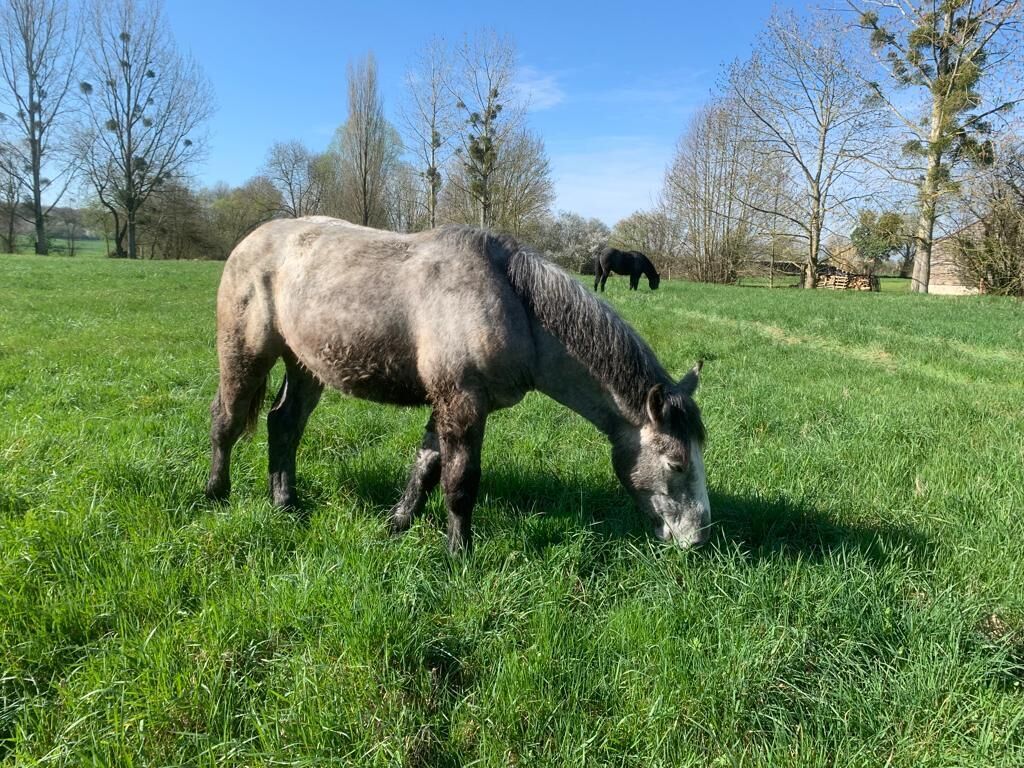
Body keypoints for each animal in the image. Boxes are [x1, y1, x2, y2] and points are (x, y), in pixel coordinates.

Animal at [206, 217, 709, 553]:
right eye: (677, 464)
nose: (698, 539)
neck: (513, 302)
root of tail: (250, 239)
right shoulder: (463, 403)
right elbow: (460, 481)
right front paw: (458, 554)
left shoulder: (447, 404)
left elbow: (427, 467)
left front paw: (397, 524)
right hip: (245, 354)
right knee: (226, 420)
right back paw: (215, 494)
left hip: (305, 365)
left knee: (283, 425)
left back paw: (285, 503)